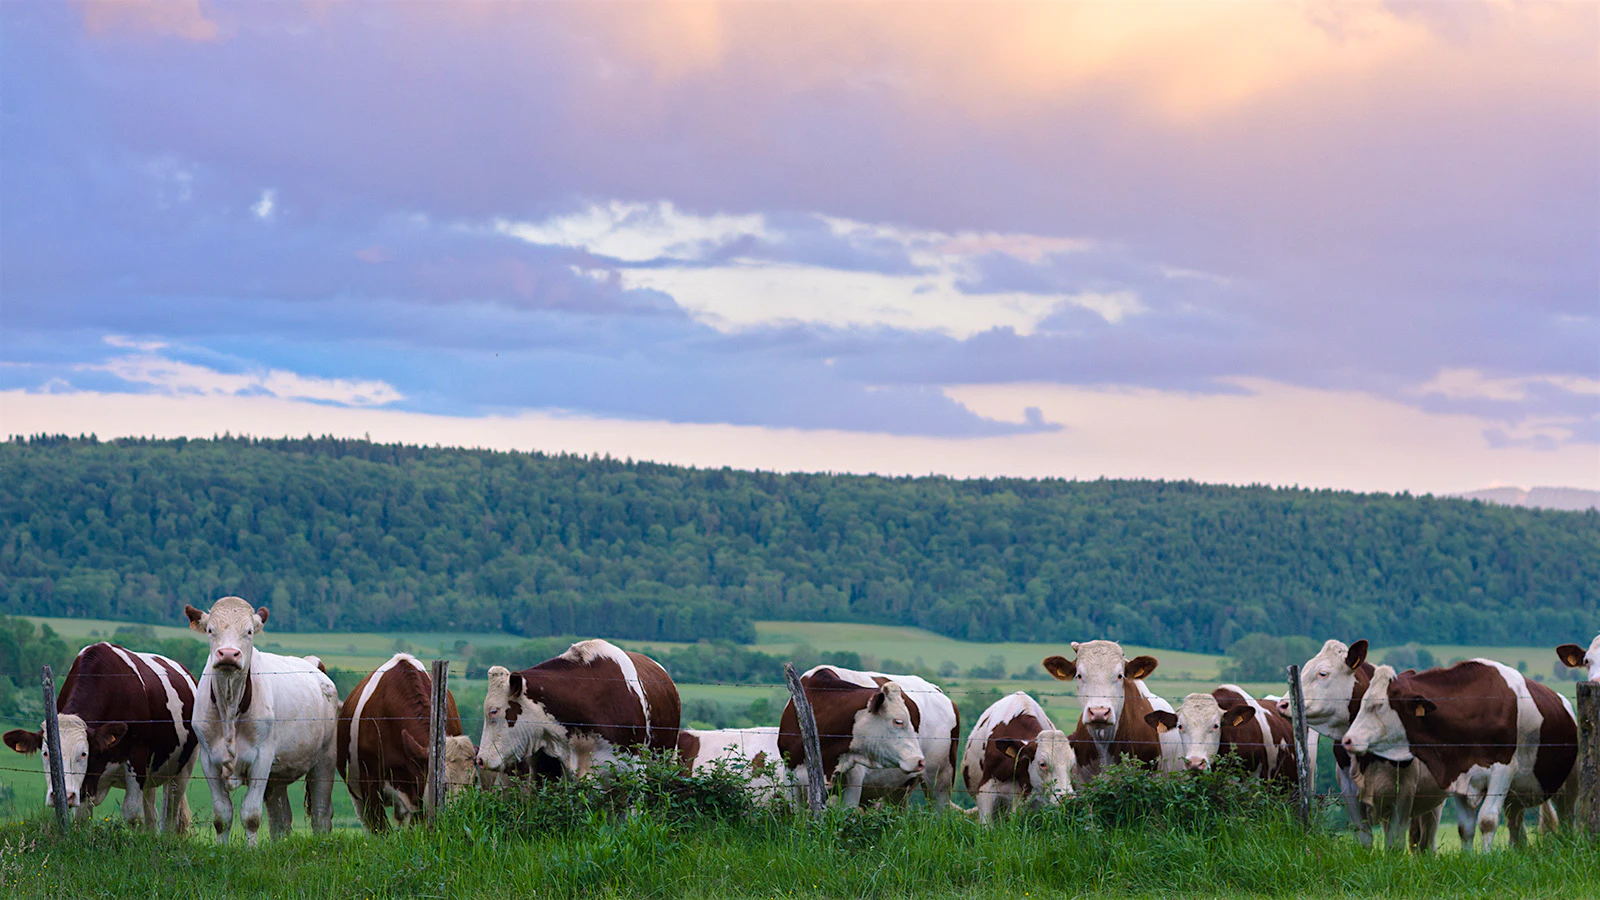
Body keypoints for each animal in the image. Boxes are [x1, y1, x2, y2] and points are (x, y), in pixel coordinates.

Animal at [4, 642, 197, 833]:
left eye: (83, 753)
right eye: (45, 753)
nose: (65, 795)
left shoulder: (137, 759)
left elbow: (133, 815)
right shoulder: (85, 782)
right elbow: (82, 816)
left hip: (182, 769)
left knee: (170, 815)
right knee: (152, 813)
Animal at [185, 596, 341, 845]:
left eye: (249, 631)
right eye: (210, 630)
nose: (228, 654)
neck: (230, 706)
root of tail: (312, 664)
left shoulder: (262, 758)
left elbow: (251, 815)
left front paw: (252, 850)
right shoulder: (209, 761)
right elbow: (222, 816)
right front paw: (220, 849)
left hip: (325, 759)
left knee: (321, 814)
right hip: (278, 777)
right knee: (281, 819)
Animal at [337, 653, 477, 831]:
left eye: (474, 781)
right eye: (443, 785)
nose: (461, 819)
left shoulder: (419, 792)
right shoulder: (369, 784)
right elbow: (380, 829)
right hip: (356, 794)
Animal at [1343, 660, 1579, 851]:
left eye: (1378, 705)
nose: (1347, 740)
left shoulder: (1503, 770)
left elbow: (1488, 821)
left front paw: (1487, 860)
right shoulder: (1457, 774)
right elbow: (1465, 828)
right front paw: (1469, 860)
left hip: (1568, 785)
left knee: (1568, 818)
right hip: (1515, 795)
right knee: (1515, 824)